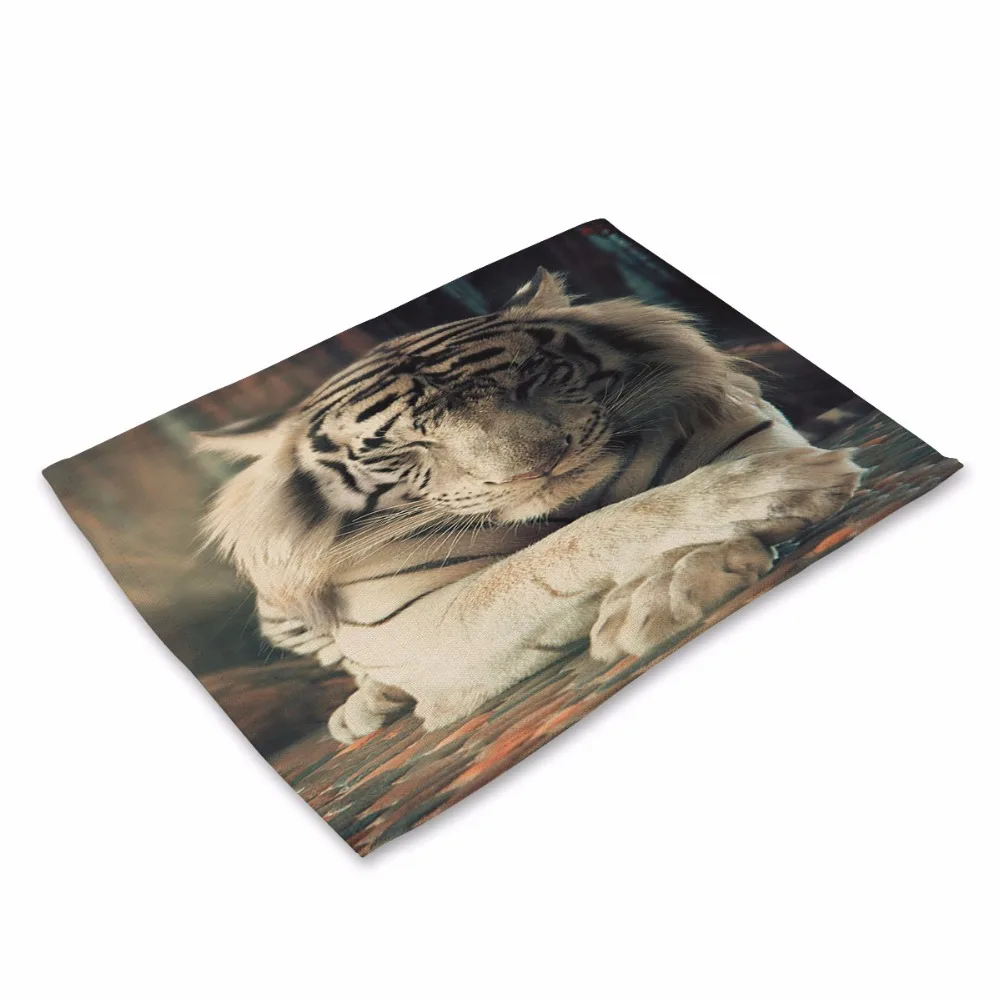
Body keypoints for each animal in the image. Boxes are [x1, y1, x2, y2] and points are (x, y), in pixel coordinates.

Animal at [195, 269, 861, 743]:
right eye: (406, 447)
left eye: (532, 378)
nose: (537, 464)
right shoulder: (418, 626)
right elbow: (554, 554)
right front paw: (763, 495)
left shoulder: (742, 428)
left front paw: (664, 587)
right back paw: (365, 705)